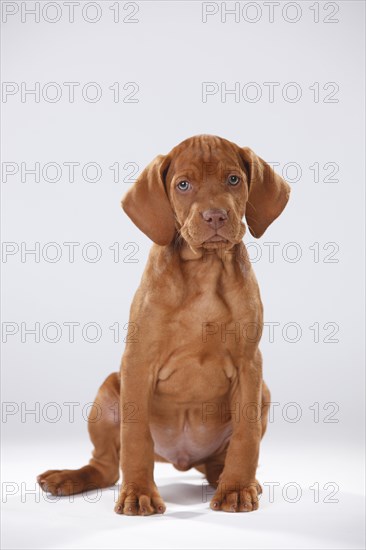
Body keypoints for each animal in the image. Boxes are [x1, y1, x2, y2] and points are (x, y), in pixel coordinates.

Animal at [37, 136, 288, 516]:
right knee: (107, 467)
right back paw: (70, 478)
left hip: (263, 395)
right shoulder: (138, 363)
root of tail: (182, 458)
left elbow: (246, 438)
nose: (215, 216)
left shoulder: (249, 366)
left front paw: (237, 490)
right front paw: (138, 493)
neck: (205, 270)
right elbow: (135, 438)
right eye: (183, 185)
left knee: (219, 462)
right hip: (108, 392)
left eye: (233, 180)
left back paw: (235, 481)